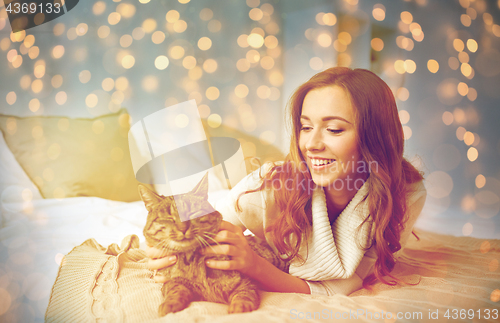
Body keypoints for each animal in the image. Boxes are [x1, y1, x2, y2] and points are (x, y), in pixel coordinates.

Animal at [137, 173, 288, 318]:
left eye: (193, 213)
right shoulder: (170, 282)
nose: (183, 228)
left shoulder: (244, 281)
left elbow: (244, 294)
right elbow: (176, 288)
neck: (191, 260)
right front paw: (169, 304)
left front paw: (239, 308)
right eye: (169, 218)